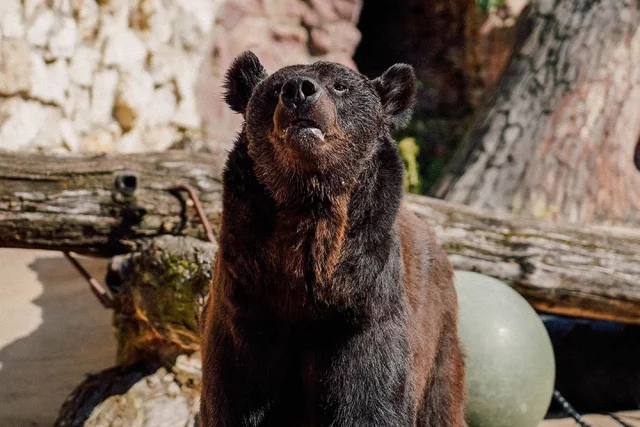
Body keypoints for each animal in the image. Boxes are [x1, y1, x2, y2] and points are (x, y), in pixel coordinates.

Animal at [200, 51, 464, 426]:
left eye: (340, 85)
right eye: (276, 87)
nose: (299, 90)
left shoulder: (363, 316)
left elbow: (370, 402)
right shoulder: (249, 313)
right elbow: (236, 400)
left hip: (438, 334)